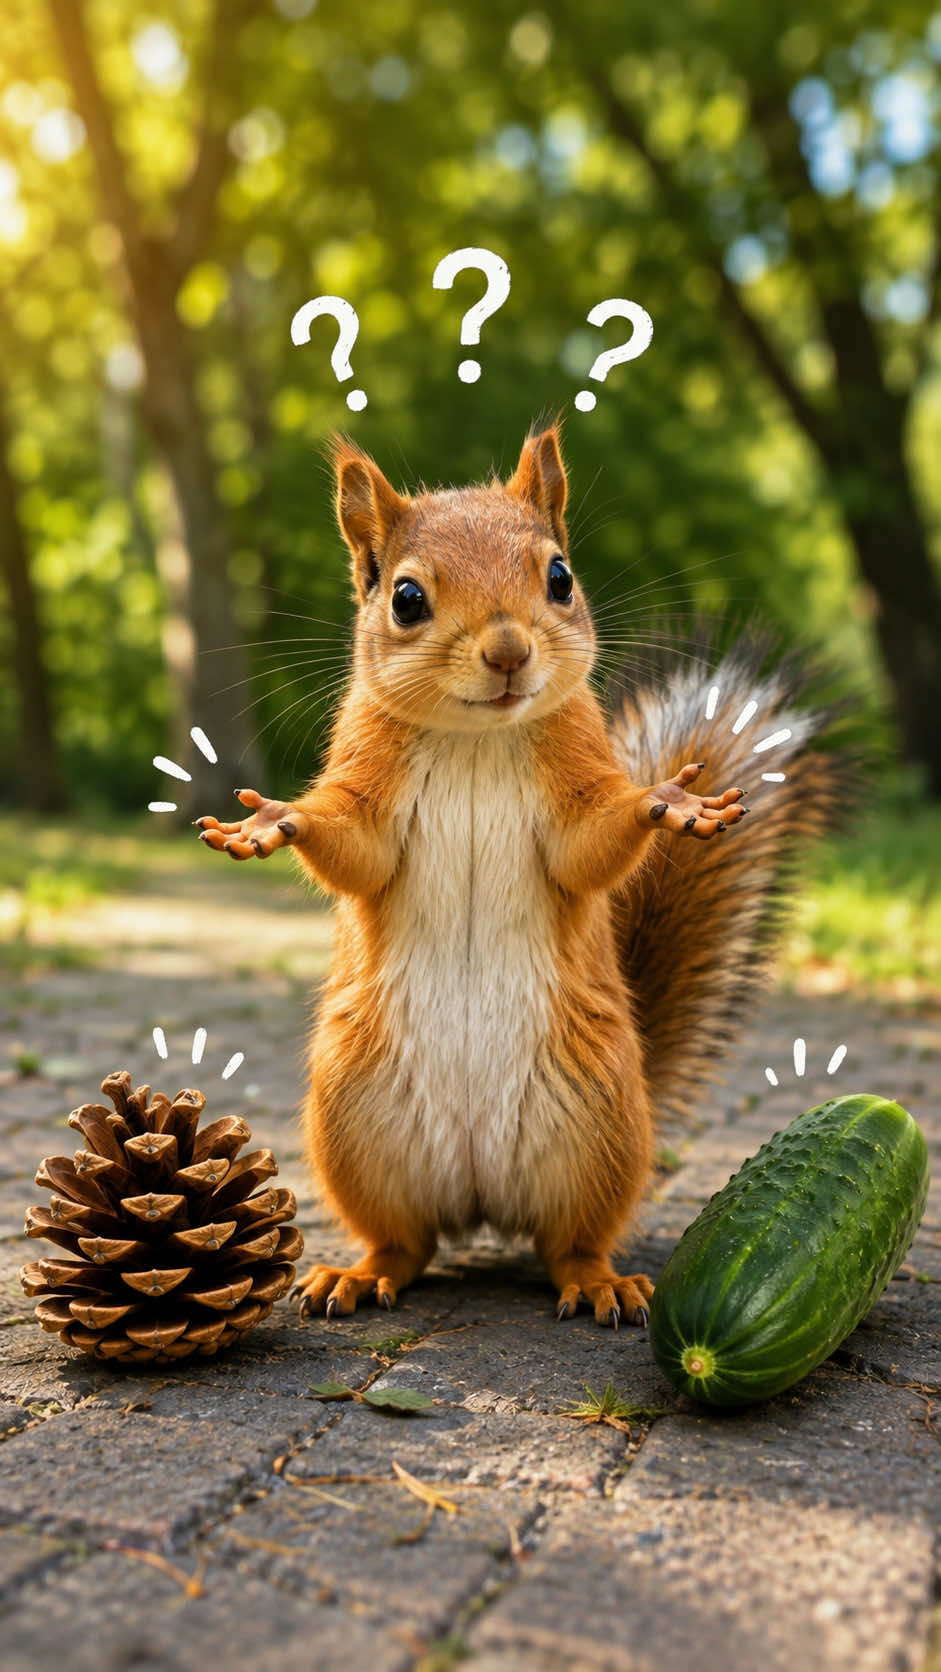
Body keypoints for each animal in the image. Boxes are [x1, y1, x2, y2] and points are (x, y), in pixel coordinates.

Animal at [196, 423, 836, 1329]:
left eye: (559, 576)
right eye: (405, 598)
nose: (506, 651)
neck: (476, 737)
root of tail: (480, 1202)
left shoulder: (574, 786)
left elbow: (590, 843)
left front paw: (668, 799)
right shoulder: (367, 781)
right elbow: (353, 844)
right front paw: (274, 820)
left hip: (595, 1131)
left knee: (568, 1243)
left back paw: (599, 1283)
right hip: (355, 1126)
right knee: (404, 1243)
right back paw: (356, 1274)